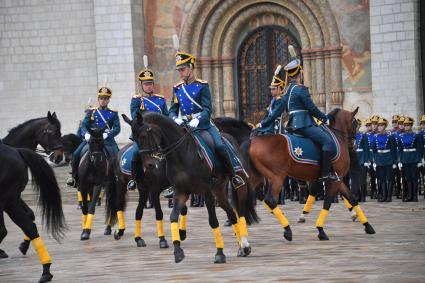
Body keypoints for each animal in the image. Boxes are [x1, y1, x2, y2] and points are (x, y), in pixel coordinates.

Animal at [0, 144, 65, 283]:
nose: (57, 156)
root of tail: (16, 151)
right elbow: (30, 214)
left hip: (5, 201)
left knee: (15, 228)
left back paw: (45, 271)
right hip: (10, 201)